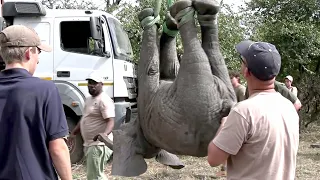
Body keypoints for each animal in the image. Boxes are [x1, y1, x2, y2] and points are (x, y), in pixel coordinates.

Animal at [110, 0, 238, 177]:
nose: (121, 125)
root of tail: (224, 108)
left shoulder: (148, 106)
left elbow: (151, 68)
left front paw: (154, 19)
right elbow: (168, 66)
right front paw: (165, 22)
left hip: (197, 95)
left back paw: (183, 11)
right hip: (210, 88)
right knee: (212, 54)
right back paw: (204, 10)